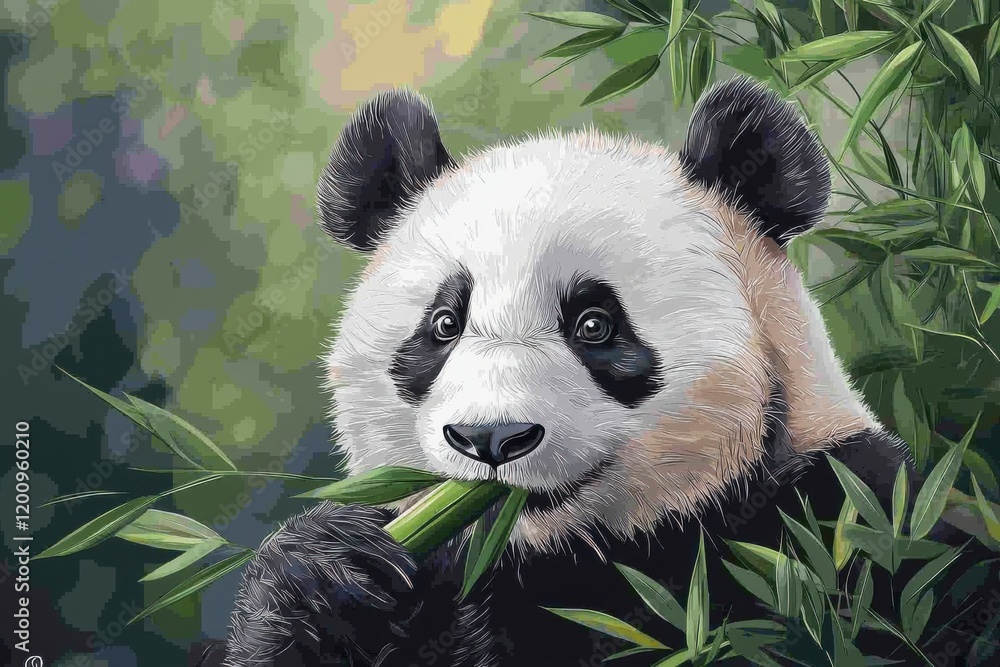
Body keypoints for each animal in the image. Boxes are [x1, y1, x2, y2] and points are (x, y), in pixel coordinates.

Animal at [213, 76, 992, 667]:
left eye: (594, 324)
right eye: (443, 324)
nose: (491, 438)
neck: (572, 550)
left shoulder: (854, 523)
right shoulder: (446, 577)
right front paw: (326, 570)